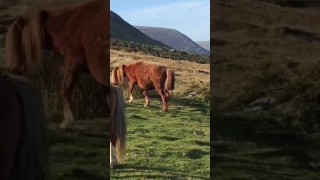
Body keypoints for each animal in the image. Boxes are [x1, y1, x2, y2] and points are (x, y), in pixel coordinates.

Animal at [4, 0, 126, 168]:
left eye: (17, 39)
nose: (13, 69)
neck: (67, 23)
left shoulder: (72, 64)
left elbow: (64, 90)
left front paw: (66, 122)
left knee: (113, 135)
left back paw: (111, 162)